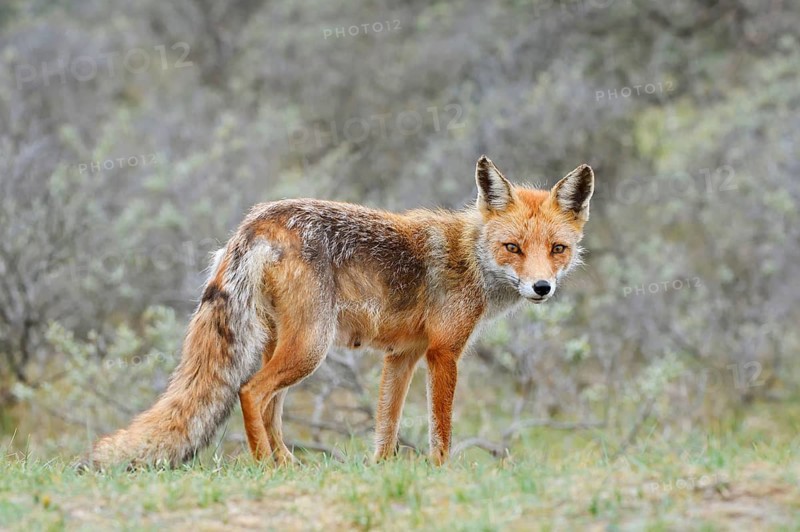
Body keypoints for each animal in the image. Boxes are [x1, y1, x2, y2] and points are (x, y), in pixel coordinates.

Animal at [84, 155, 594, 469]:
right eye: (513, 248)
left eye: (557, 249)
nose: (542, 287)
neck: (469, 255)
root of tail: (256, 221)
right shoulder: (444, 353)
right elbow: (441, 428)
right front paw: (441, 472)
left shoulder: (402, 356)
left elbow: (386, 425)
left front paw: (383, 471)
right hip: (311, 346)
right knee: (250, 392)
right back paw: (264, 465)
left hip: (285, 344)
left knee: (270, 407)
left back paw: (288, 465)